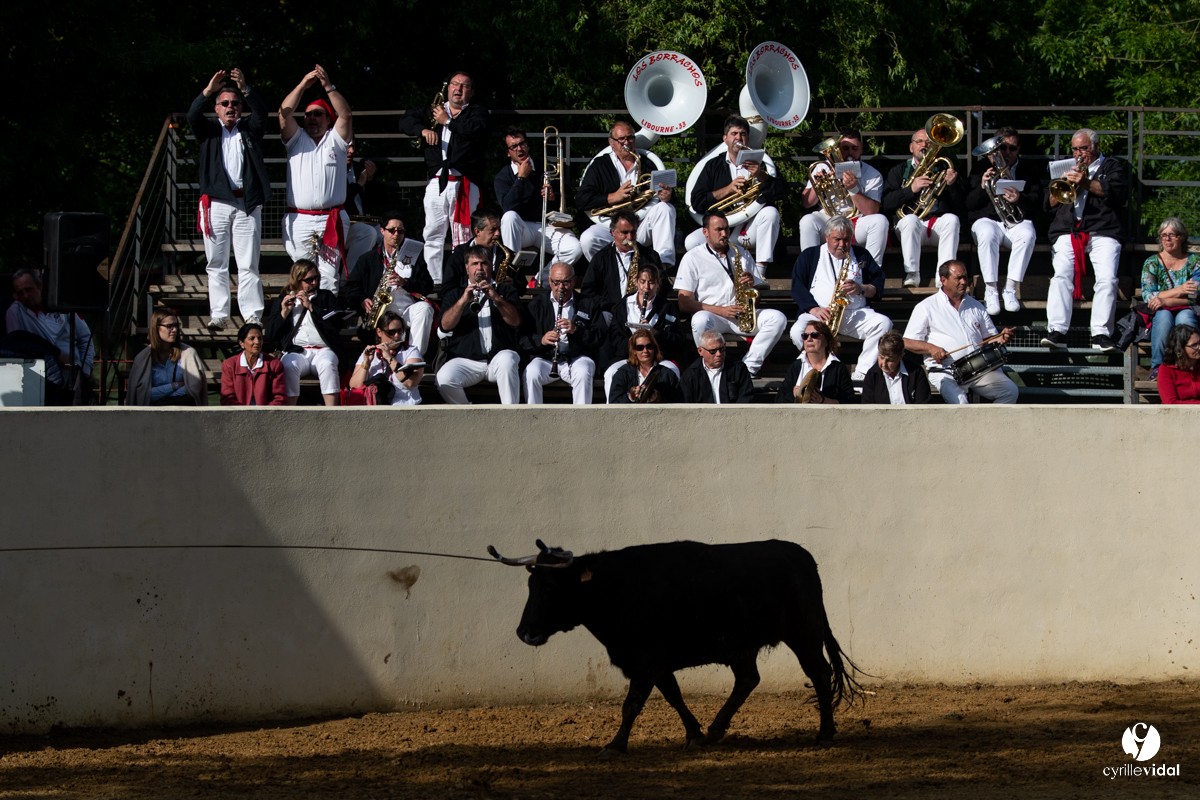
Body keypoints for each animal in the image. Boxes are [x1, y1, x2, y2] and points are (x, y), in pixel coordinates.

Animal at [488, 538, 863, 754]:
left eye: (550, 587)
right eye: (531, 584)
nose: (525, 633)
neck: (615, 588)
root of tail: (799, 554)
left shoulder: (645, 660)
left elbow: (632, 704)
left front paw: (615, 745)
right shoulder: (655, 663)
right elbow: (673, 695)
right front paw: (694, 734)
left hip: (804, 634)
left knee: (819, 673)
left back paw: (825, 734)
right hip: (745, 646)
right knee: (747, 679)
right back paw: (715, 730)